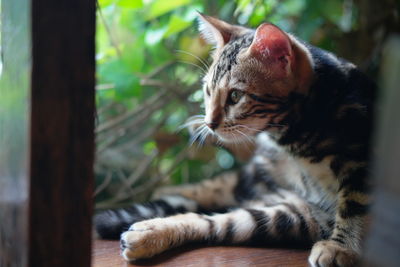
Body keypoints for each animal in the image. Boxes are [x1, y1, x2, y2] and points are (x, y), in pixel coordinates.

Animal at [95, 13, 376, 267]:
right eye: (208, 91)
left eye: (235, 96)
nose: (209, 123)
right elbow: (217, 219)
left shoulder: (356, 168)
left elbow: (356, 204)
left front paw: (342, 247)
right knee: (217, 197)